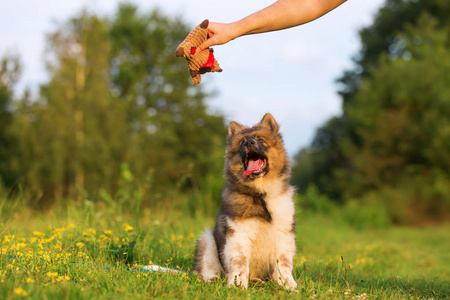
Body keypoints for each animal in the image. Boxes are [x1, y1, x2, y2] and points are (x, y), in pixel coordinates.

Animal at [192, 113, 296, 290]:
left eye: (260, 139)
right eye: (242, 142)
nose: (249, 143)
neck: (261, 193)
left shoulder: (284, 234)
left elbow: (284, 263)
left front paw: (288, 284)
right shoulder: (239, 234)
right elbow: (240, 261)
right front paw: (237, 285)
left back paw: (257, 281)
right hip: (207, 239)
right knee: (207, 267)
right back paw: (212, 279)